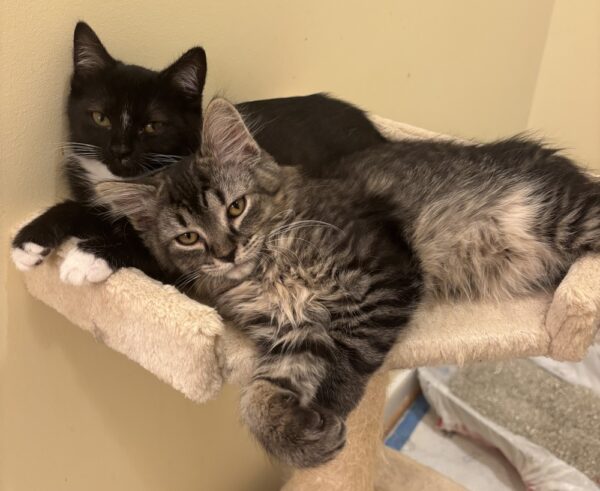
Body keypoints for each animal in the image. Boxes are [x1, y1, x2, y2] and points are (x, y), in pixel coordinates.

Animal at [11, 21, 385, 284]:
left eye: (154, 126)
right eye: (99, 117)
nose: (120, 151)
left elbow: (154, 251)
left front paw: (85, 258)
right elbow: (88, 209)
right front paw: (31, 239)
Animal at [93, 98, 600, 467]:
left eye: (236, 207)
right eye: (188, 238)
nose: (226, 252)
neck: (266, 268)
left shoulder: (383, 273)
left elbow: (350, 355)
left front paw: (330, 408)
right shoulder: (292, 332)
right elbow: (257, 397)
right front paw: (294, 439)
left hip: (566, 217)